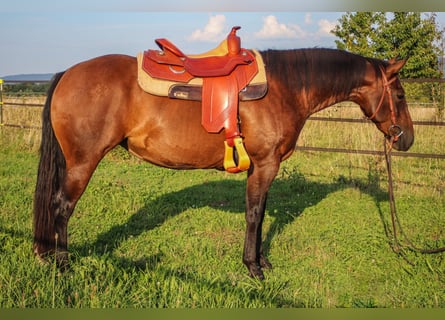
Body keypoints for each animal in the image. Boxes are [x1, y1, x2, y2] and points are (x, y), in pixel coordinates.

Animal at [33, 47, 412, 278]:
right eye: (400, 94)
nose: (406, 139)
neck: (285, 88)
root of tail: (67, 73)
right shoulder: (265, 165)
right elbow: (254, 214)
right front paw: (253, 268)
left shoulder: (263, 168)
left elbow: (261, 215)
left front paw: (262, 261)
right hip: (83, 163)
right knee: (62, 206)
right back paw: (62, 264)